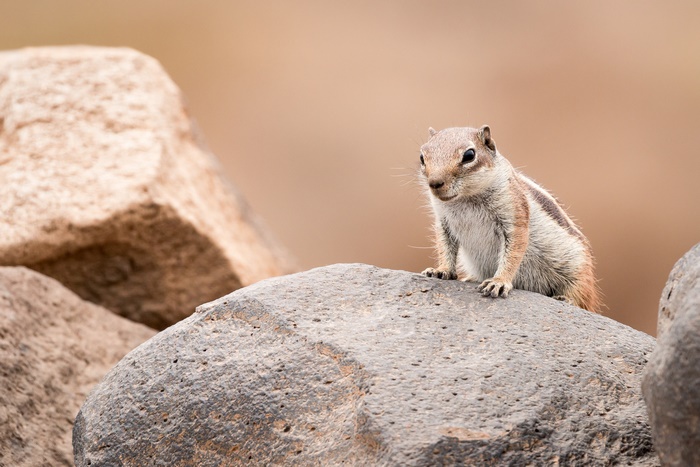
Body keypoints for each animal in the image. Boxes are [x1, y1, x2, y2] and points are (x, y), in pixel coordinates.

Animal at [419, 125, 601, 312]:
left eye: (469, 155)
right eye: (422, 157)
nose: (435, 183)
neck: (466, 198)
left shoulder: (514, 215)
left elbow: (513, 253)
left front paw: (498, 282)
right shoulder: (443, 223)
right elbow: (444, 246)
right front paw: (441, 270)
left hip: (578, 269)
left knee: (581, 295)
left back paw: (566, 299)